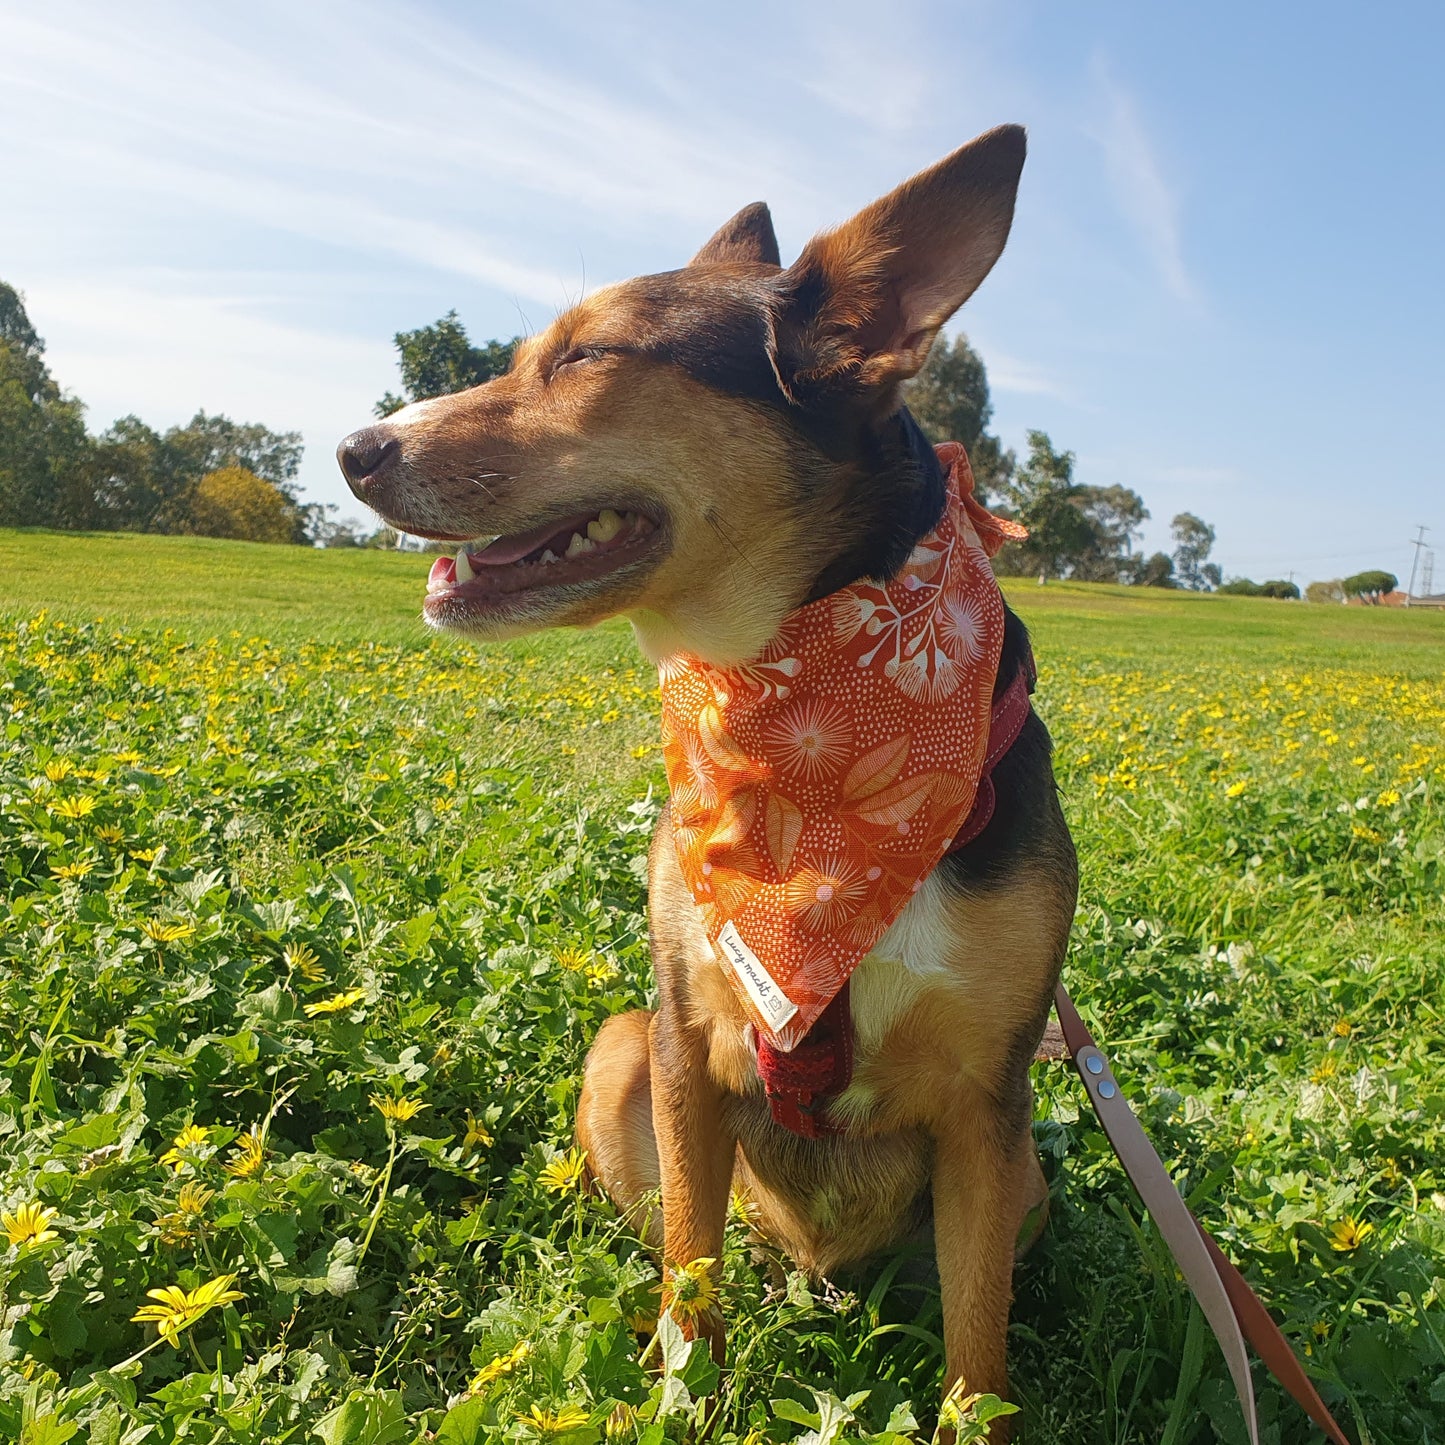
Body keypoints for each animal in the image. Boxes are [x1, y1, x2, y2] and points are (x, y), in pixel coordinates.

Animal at [338, 127, 1080, 1421]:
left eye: (586, 354)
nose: (350, 448)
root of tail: (814, 1266)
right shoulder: (689, 1042)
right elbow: (690, 1268)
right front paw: (685, 1399)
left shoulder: (991, 1108)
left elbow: (974, 1363)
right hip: (619, 1045)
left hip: (1028, 1169)